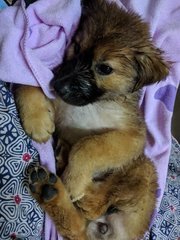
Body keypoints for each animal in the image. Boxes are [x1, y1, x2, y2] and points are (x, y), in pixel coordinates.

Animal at [15, 0, 169, 240]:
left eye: (104, 68)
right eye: (77, 47)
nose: (58, 86)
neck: (94, 104)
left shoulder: (132, 138)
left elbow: (89, 145)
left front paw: (74, 180)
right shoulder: (60, 107)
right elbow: (29, 82)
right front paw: (37, 120)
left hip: (143, 169)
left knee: (98, 203)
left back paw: (72, 184)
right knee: (77, 225)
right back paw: (48, 186)